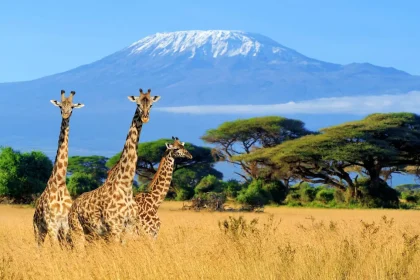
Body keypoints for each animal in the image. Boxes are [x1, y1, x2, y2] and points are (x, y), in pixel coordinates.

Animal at [33, 89, 85, 247]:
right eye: (60, 106)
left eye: (72, 107)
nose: (66, 115)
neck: (60, 183)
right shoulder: (52, 225)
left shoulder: (65, 225)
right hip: (38, 229)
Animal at [68, 88, 160, 246]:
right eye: (138, 104)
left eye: (151, 104)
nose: (145, 118)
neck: (125, 184)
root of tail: (72, 207)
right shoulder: (114, 227)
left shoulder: (130, 227)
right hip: (78, 231)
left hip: (92, 234)